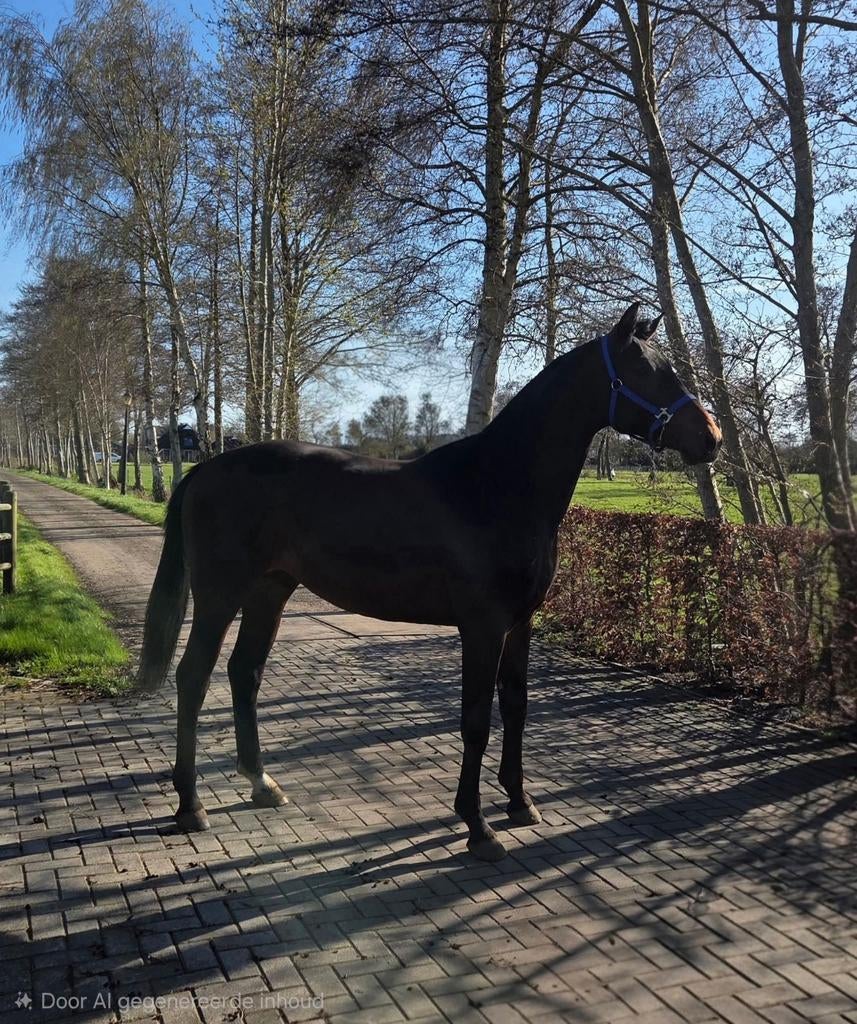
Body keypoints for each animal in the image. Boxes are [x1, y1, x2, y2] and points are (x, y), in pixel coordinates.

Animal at [137, 303, 721, 861]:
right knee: (193, 678)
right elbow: (475, 720)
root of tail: (204, 470)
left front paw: (519, 801)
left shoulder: (520, 625)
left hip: (270, 591)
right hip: (220, 596)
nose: (710, 437)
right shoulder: (482, 628)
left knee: (245, 672)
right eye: (646, 372)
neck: (497, 486)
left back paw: (262, 784)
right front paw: (478, 826)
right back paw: (190, 806)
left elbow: (516, 705)